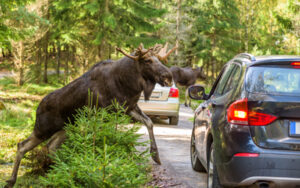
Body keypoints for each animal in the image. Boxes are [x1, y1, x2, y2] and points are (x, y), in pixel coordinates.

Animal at [5, 43, 176, 188]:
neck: (128, 84)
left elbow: (149, 123)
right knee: (22, 146)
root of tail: (37, 108)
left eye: (159, 59)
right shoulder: (102, 112)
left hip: (64, 129)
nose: (168, 76)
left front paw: (155, 155)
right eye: (147, 60)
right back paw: (12, 180)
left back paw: (65, 169)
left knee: (50, 146)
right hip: (43, 129)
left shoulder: (129, 108)